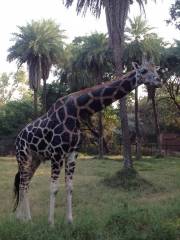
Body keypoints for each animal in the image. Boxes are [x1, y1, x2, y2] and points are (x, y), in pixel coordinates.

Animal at [13, 61, 161, 225]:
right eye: (144, 70)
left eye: (156, 70)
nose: (159, 81)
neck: (77, 112)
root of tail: (18, 137)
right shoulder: (57, 153)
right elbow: (54, 187)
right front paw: (51, 223)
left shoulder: (73, 152)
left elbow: (69, 186)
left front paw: (69, 221)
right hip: (23, 156)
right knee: (22, 183)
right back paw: (24, 218)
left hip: (36, 158)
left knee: (25, 183)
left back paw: (24, 218)